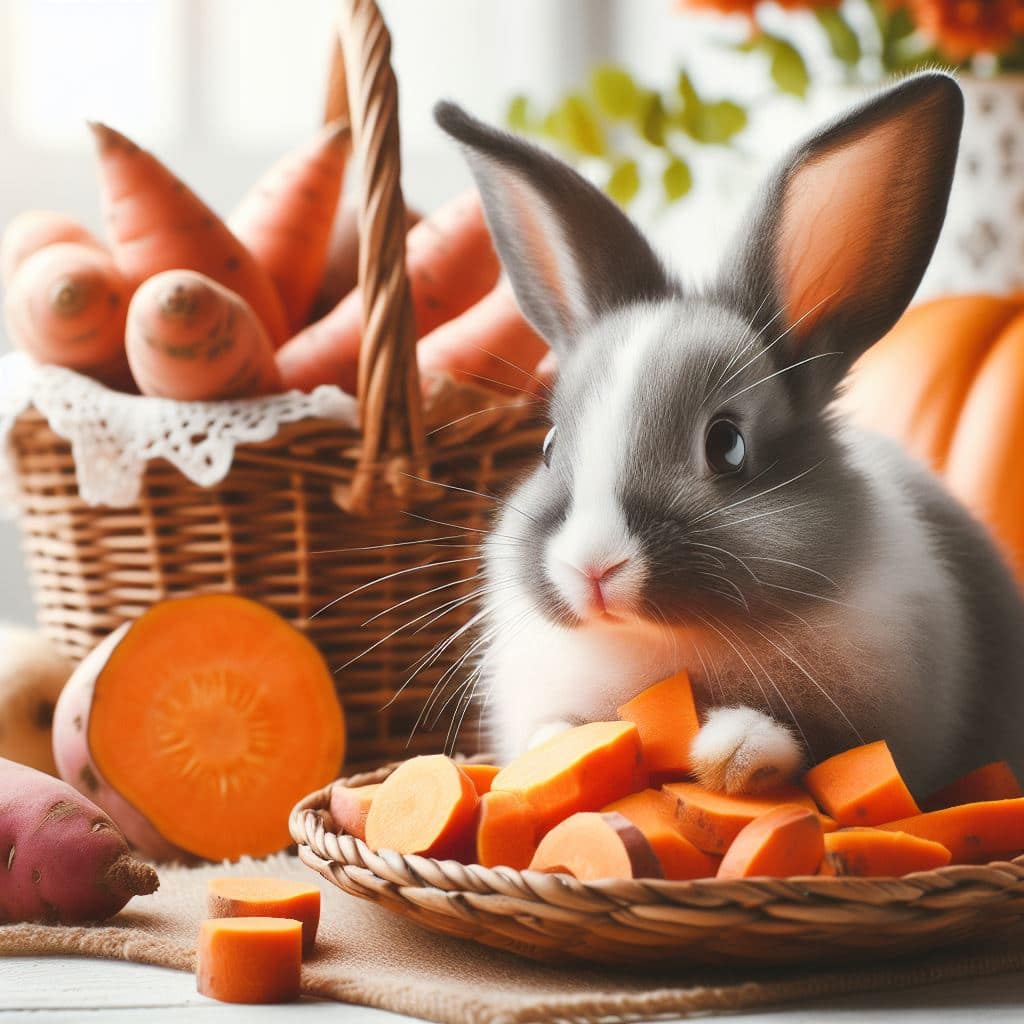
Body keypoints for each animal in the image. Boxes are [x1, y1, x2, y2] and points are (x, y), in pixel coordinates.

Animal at [433, 72, 1024, 798]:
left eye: (727, 446)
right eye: (547, 449)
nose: (592, 568)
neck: (666, 645)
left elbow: (815, 748)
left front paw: (732, 753)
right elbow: (556, 729)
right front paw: (555, 752)